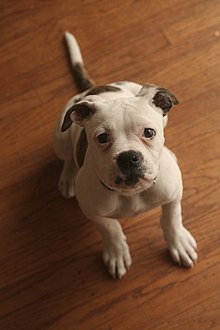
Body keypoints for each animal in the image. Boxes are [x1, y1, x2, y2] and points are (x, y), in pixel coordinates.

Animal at [53, 32, 198, 278]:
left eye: (149, 132)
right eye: (102, 138)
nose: (128, 157)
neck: (132, 193)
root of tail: (92, 90)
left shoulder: (173, 193)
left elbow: (172, 217)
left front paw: (178, 242)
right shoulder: (91, 209)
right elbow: (109, 227)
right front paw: (116, 252)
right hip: (60, 138)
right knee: (67, 157)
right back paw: (68, 177)